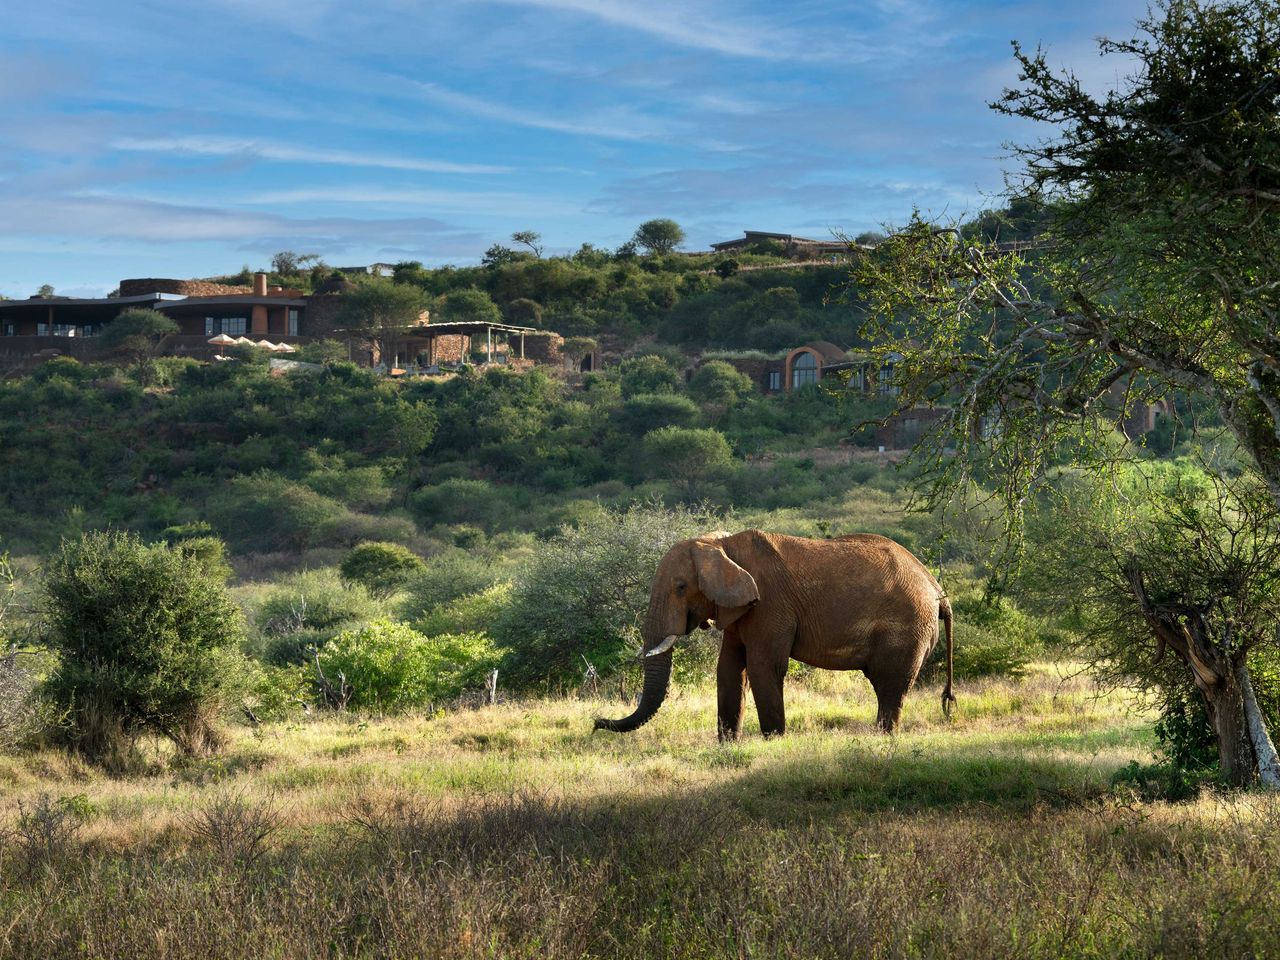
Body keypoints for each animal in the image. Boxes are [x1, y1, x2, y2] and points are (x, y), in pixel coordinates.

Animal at [594, 529, 955, 739]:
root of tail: (937, 589)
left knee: (890, 685)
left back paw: (883, 737)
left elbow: (763, 667)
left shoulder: (770, 604)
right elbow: (728, 669)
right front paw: (729, 744)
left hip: (908, 627)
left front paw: (773, 740)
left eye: (681, 587)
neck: (721, 545)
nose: (597, 722)